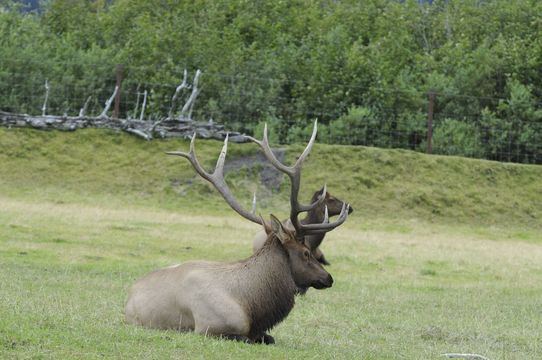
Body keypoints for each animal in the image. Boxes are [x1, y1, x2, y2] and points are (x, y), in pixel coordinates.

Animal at [125, 120, 350, 344]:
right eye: (306, 252)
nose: (328, 277)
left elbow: (270, 338)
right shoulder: (210, 328)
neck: (251, 308)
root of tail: (128, 295)